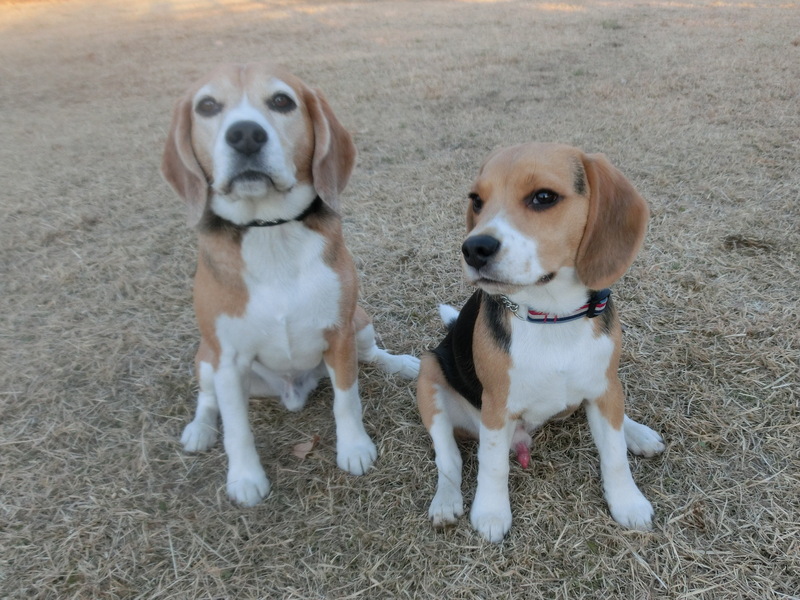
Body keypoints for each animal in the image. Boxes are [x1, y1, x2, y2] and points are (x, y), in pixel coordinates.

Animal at [161, 64, 418, 506]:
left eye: (282, 101)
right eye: (207, 106)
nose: (245, 134)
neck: (269, 230)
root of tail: (293, 391)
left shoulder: (339, 335)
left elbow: (347, 400)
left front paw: (354, 448)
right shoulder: (227, 359)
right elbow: (237, 428)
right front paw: (245, 478)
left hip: (361, 321)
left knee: (371, 356)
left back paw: (401, 364)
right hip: (208, 357)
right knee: (208, 398)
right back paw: (200, 429)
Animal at [416, 143, 664, 540]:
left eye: (544, 197)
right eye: (476, 200)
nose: (473, 248)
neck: (553, 315)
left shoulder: (604, 386)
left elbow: (614, 454)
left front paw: (627, 502)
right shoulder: (497, 407)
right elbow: (492, 464)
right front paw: (491, 512)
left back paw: (637, 433)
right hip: (428, 373)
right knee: (449, 457)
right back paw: (445, 501)